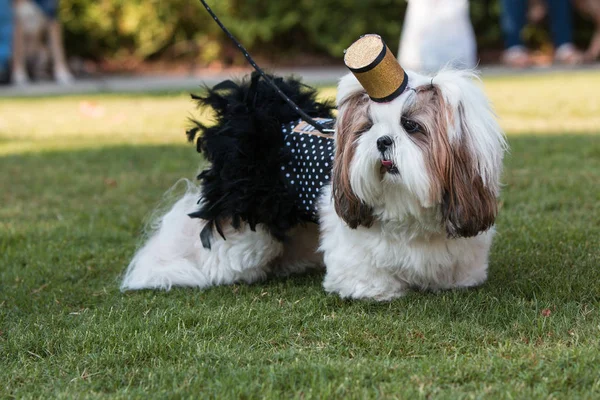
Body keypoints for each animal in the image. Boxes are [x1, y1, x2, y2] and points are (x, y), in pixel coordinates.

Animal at [120, 38, 506, 300]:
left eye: (411, 126)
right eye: (368, 128)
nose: (382, 141)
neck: (406, 206)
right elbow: (362, 273)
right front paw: (375, 290)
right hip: (246, 228)